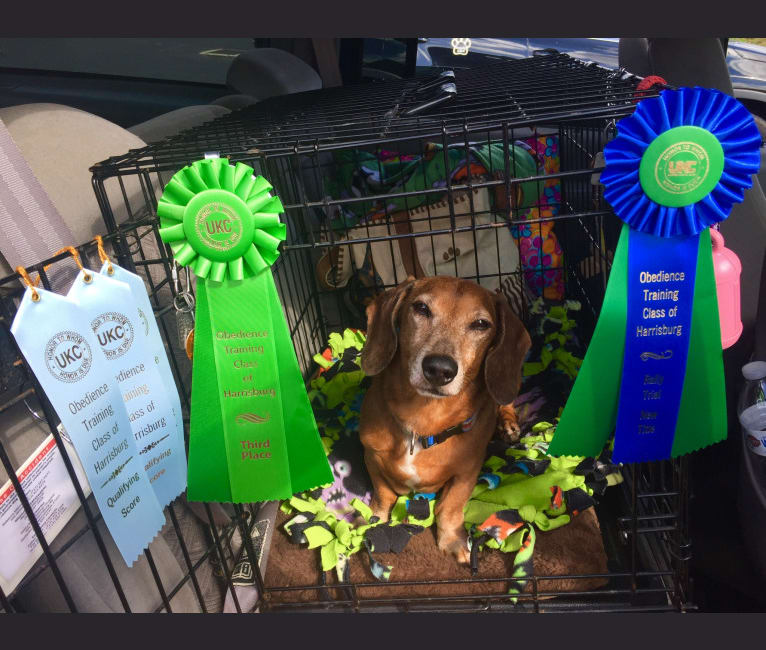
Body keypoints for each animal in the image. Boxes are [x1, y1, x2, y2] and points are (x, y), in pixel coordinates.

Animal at [362, 274, 532, 560]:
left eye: (481, 324)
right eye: (421, 308)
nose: (439, 369)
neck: (423, 420)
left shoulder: (466, 473)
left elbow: (450, 508)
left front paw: (452, 540)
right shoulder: (371, 457)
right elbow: (383, 494)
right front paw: (374, 520)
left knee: (505, 402)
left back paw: (508, 424)